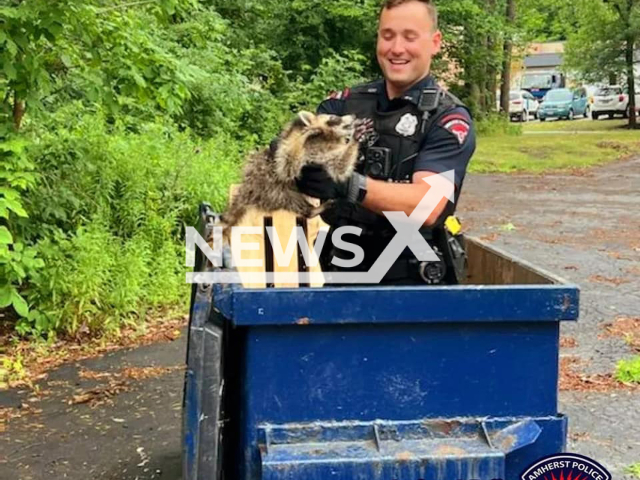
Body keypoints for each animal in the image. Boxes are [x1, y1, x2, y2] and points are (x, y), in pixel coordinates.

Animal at [221, 111, 368, 234]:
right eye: (334, 118)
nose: (353, 117)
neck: (326, 138)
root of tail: (248, 188)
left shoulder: (328, 157)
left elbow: (341, 166)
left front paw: (354, 141)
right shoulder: (284, 157)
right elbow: (288, 160)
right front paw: (301, 137)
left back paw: (312, 210)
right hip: (272, 187)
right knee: (292, 199)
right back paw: (311, 210)